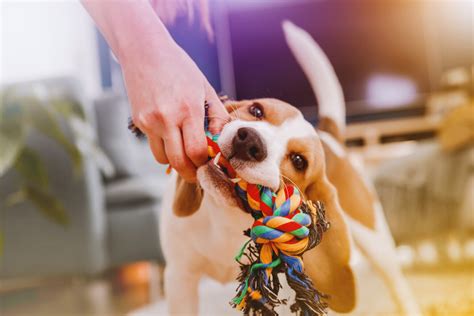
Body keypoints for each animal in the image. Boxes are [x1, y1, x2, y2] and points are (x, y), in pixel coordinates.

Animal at [158, 21, 418, 314]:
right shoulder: (180, 277)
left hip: (378, 242)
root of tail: (328, 135)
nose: (249, 141)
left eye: (298, 161)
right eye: (256, 111)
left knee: (398, 284)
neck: (228, 218)